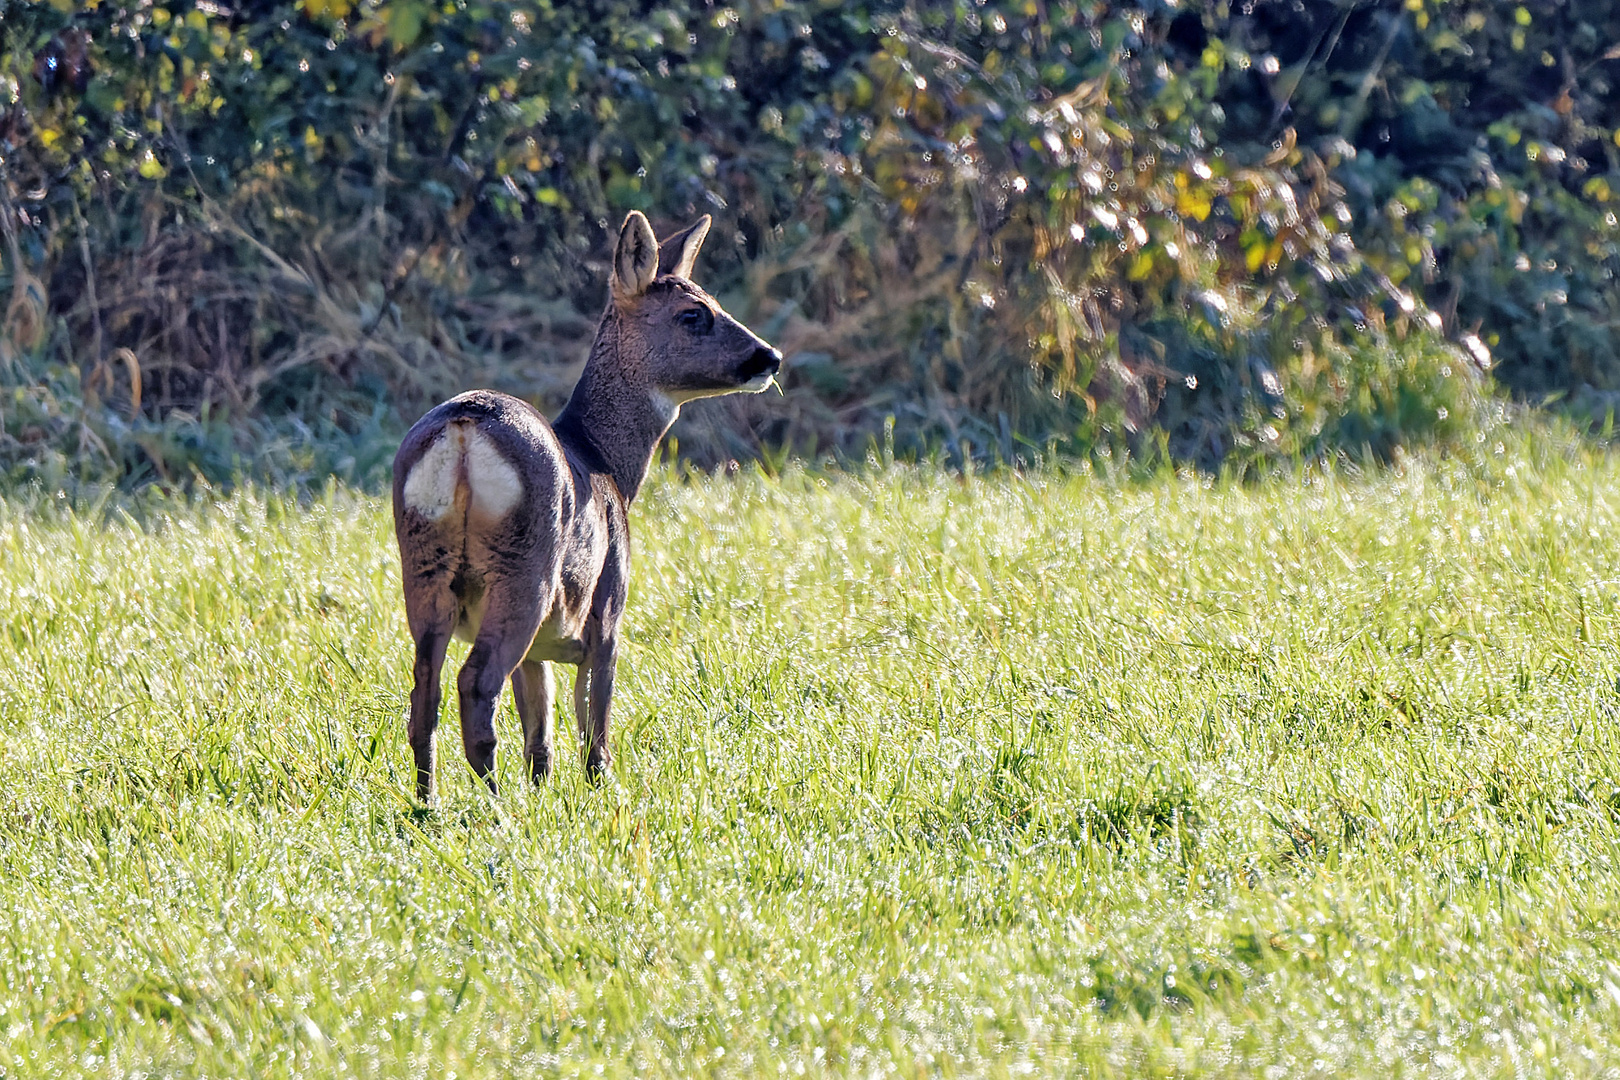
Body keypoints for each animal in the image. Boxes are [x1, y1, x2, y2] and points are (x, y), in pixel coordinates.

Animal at [388, 213, 774, 803]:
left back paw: (429, 803)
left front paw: (544, 791)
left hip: (425, 566)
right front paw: (600, 791)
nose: (769, 357)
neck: (605, 461)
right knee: (474, 684)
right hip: (524, 569)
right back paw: (495, 807)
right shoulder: (608, 609)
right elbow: (594, 719)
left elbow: (540, 730)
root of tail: (463, 428)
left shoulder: (541, 649)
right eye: (694, 314)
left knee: (423, 695)